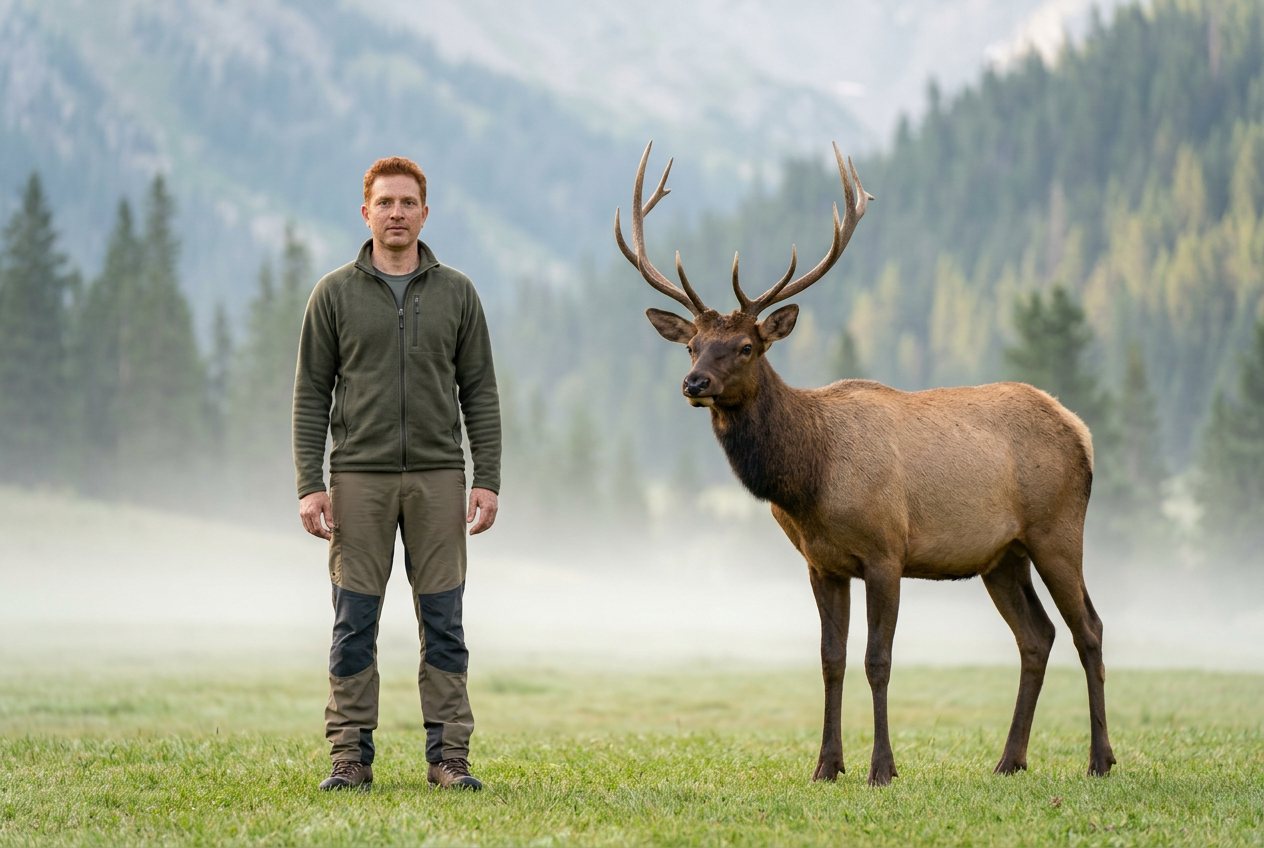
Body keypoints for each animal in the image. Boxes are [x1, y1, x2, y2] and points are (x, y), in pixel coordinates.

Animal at [614, 141, 1115, 786]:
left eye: (746, 347)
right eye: (692, 346)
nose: (693, 383)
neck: (809, 481)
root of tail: (1080, 430)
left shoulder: (886, 552)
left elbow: (879, 660)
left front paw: (882, 768)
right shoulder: (821, 564)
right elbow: (832, 659)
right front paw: (827, 765)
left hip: (1057, 528)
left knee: (1088, 629)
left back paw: (1100, 759)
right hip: (1002, 555)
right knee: (1038, 636)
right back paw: (1010, 760)